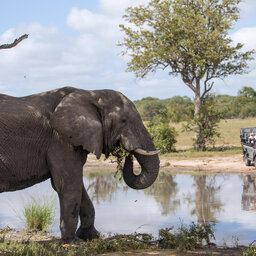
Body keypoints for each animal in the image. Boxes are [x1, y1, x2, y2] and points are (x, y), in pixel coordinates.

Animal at [0, 87, 160, 242]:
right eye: (124, 120)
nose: (127, 152)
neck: (90, 93)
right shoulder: (60, 140)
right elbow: (68, 185)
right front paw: (72, 242)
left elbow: (78, 188)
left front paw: (90, 237)